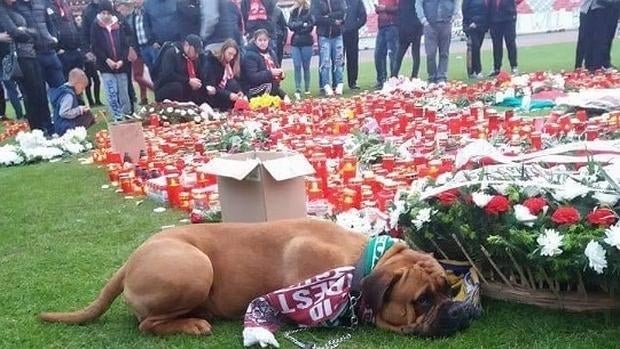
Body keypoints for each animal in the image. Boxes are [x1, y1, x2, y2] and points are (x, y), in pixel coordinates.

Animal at [40, 219, 470, 338]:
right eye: (423, 301)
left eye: (447, 290)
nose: (458, 312)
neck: (362, 262)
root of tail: (129, 262)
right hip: (195, 267)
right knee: (147, 323)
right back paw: (193, 323)